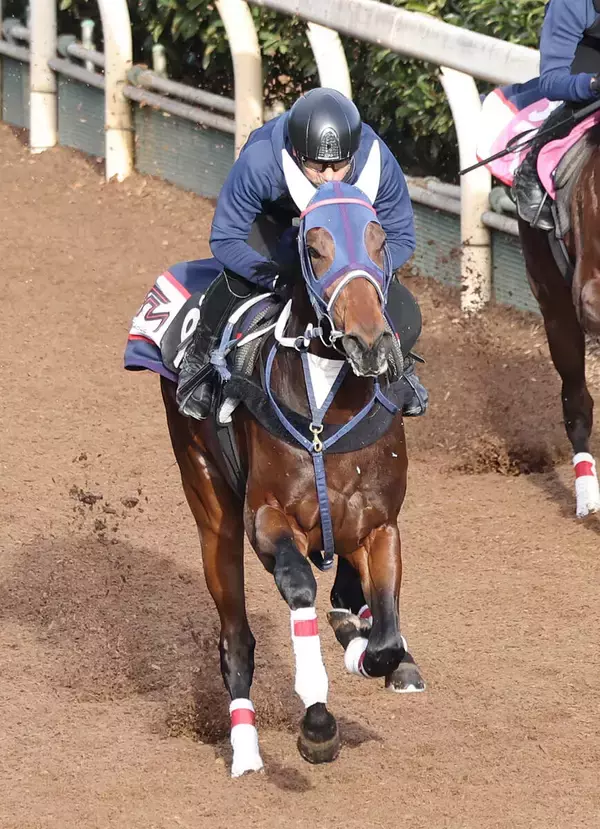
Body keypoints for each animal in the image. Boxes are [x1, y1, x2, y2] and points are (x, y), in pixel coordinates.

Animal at [159, 142, 425, 777]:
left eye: (379, 238)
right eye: (313, 244)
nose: (371, 343)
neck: (327, 408)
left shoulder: (381, 525)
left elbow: (384, 637)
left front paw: (369, 650)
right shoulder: (267, 519)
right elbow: (300, 585)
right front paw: (317, 722)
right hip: (211, 508)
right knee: (236, 637)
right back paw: (246, 750)